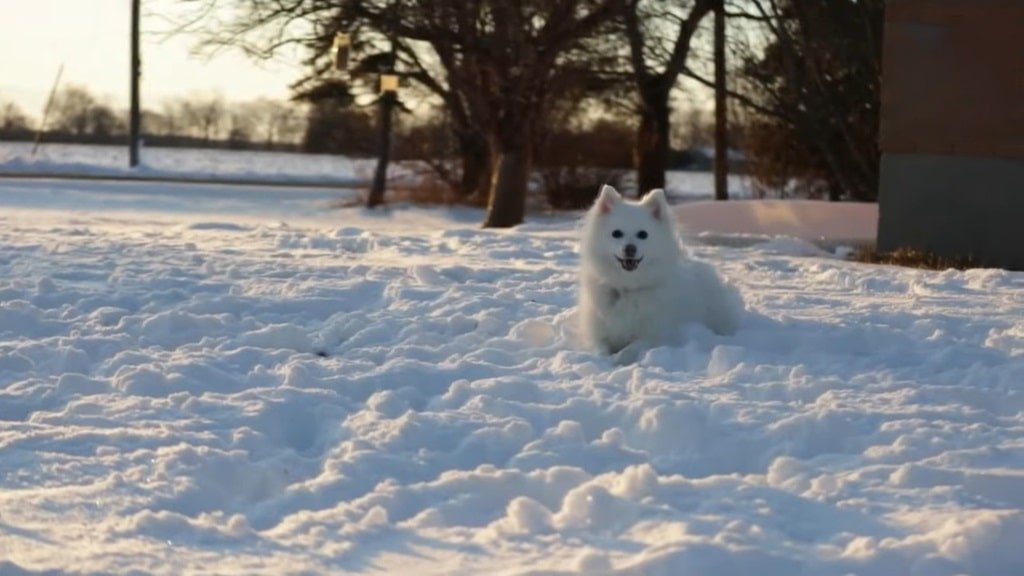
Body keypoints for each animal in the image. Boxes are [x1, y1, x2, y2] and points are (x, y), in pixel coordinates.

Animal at [577, 183, 745, 354]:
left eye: (643, 234)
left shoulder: (654, 336)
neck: (628, 288)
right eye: (616, 233)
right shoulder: (597, 335)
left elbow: (628, 350)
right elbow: (600, 350)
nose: (630, 248)